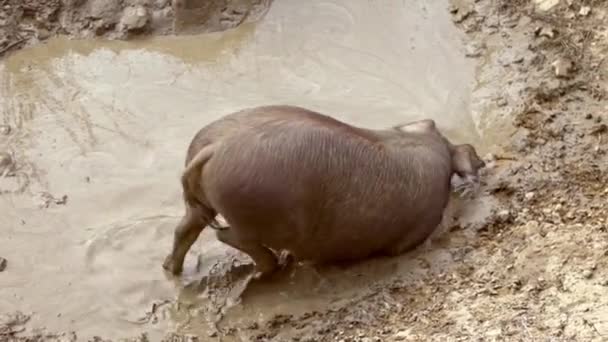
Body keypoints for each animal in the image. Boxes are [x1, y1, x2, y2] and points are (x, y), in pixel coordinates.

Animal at [163, 105, 484, 276]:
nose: (480, 159)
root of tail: (216, 148)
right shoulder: (412, 235)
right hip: (255, 216)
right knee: (226, 236)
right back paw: (272, 267)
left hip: (202, 198)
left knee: (185, 229)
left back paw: (171, 270)